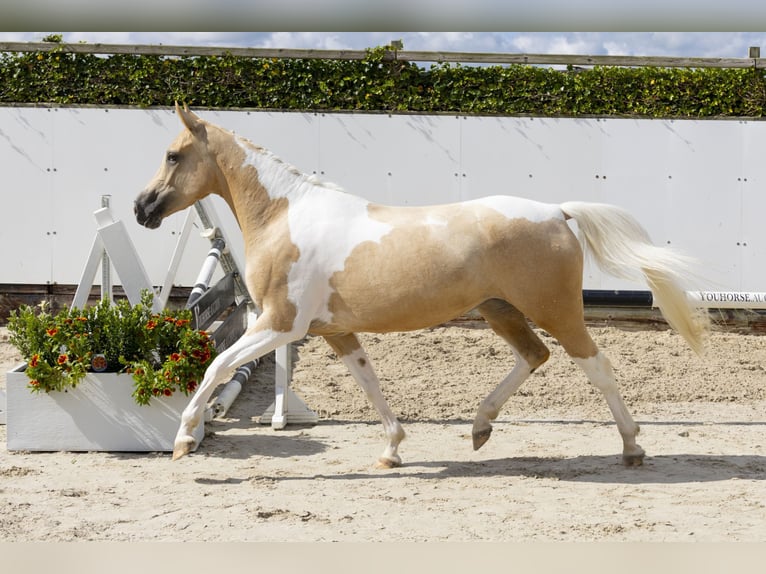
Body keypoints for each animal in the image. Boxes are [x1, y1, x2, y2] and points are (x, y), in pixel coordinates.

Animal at [130, 106, 708, 470]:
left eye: (173, 155)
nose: (141, 208)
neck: (285, 217)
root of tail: (557, 211)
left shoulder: (281, 325)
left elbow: (215, 366)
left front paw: (183, 440)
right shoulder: (334, 332)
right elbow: (369, 383)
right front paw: (391, 450)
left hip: (556, 311)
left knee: (596, 366)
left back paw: (632, 448)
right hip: (500, 310)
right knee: (534, 356)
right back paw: (480, 428)